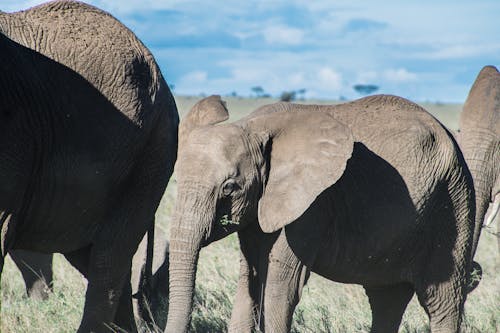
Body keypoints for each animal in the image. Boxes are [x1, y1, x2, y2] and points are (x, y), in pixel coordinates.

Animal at [166, 94, 474, 332]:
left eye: (230, 188)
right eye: (177, 180)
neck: (253, 126)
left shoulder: (312, 205)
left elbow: (281, 285)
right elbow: (249, 280)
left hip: (453, 202)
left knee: (443, 299)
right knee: (387, 300)